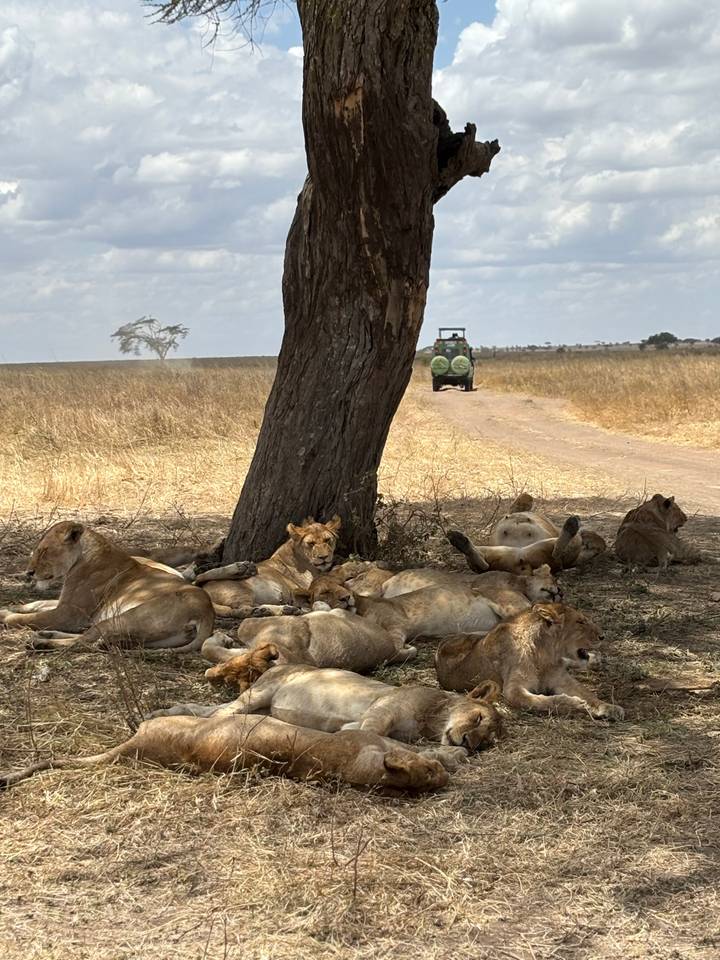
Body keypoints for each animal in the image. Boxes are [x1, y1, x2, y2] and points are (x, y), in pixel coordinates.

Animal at [0, 521, 214, 653]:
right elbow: (37, 604)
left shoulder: (69, 614)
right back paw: (46, 635)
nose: (29, 572)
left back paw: (41, 641)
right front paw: (7, 608)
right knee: (90, 637)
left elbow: (28, 618)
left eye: (44, 551)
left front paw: (7, 616)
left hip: (122, 618)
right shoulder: (66, 605)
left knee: (82, 641)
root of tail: (206, 612)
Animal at [147, 662, 502, 753]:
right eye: (478, 718)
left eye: (487, 742)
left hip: (259, 709)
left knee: (211, 710)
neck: (431, 720)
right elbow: (374, 737)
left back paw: (164, 713)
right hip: (260, 694)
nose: (470, 744)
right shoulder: (381, 711)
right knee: (220, 713)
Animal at [194, 516, 342, 616]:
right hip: (241, 591)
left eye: (327, 540)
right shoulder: (306, 588)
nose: (323, 557)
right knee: (239, 610)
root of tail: (204, 591)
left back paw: (284, 609)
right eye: (311, 543)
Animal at [435, 602, 624, 720]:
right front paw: (575, 704)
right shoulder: (513, 690)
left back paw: (596, 661)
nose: (603, 636)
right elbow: (543, 701)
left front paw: (609, 707)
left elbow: (587, 693)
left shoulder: (562, 679)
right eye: (580, 622)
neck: (546, 655)